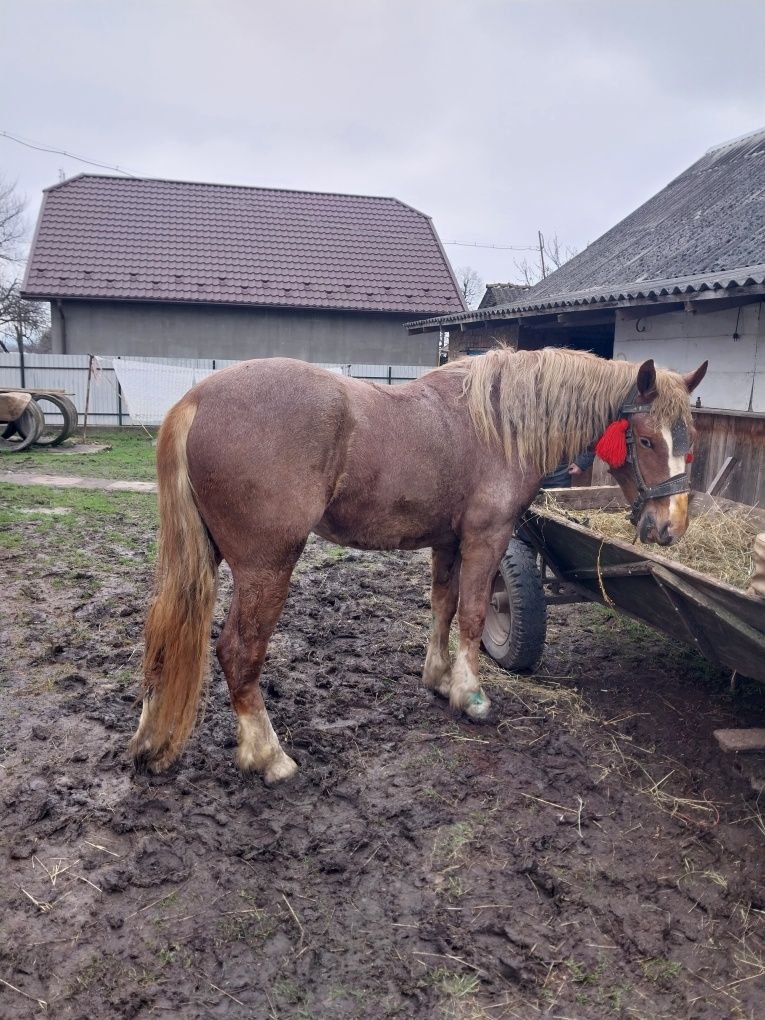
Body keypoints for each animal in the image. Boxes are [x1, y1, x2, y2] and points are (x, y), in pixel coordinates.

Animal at [129, 346, 709, 783]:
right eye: (647, 439)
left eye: (692, 441)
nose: (670, 528)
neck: (498, 426)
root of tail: (197, 399)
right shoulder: (486, 539)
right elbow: (473, 614)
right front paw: (471, 695)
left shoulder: (447, 542)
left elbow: (443, 606)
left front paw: (437, 677)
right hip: (266, 568)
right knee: (237, 652)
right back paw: (269, 756)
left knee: (167, 636)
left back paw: (150, 740)